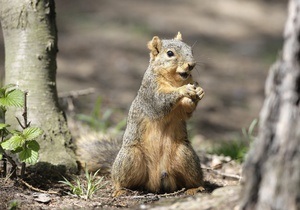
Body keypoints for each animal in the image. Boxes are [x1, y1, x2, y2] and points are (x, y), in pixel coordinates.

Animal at [75, 32, 206, 196]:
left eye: (191, 49)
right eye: (170, 53)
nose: (191, 65)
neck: (175, 80)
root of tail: (156, 181)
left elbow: (185, 112)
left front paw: (198, 91)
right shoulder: (150, 94)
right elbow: (160, 102)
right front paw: (183, 90)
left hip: (185, 155)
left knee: (190, 177)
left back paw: (195, 187)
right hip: (131, 157)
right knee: (119, 179)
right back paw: (120, 190)